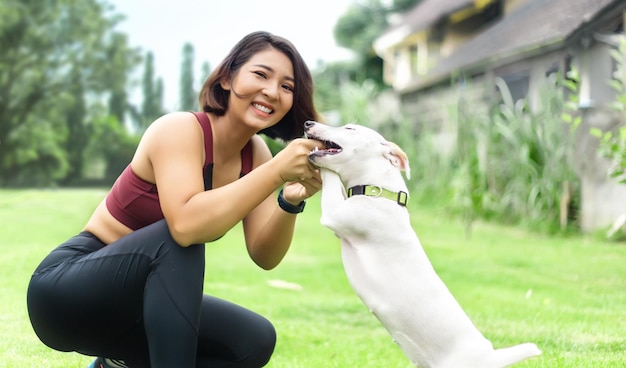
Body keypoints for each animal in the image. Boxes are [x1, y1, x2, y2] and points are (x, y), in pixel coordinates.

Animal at [304, 119, 540, 366]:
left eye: (350, 129)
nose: (308, 123)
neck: (379, 192)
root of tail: (492, 357)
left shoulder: (335, 214)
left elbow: (330, 175)